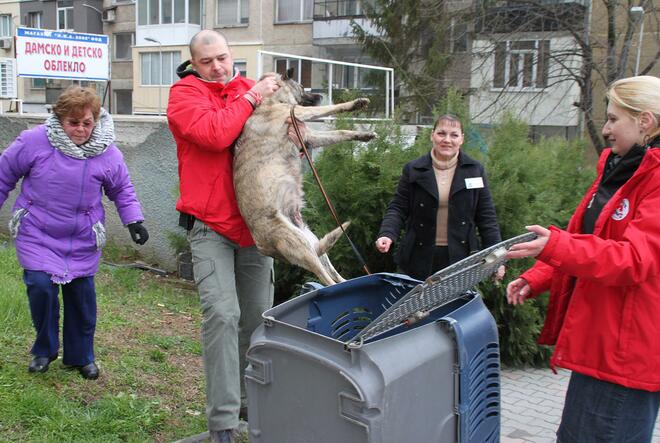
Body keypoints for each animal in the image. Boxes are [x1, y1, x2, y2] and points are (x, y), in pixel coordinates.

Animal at [233, 67, 376, 286]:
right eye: (301, 86)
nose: (319, 95)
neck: (271, 99)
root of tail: (263, 246)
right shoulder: (299, 112)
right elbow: (330, 108)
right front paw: (354, 104)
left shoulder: (309, 137)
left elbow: (341, 132)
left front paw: (362, 136)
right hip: (299, 246)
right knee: (326, 281)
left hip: (312, 244)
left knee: (334, 276)